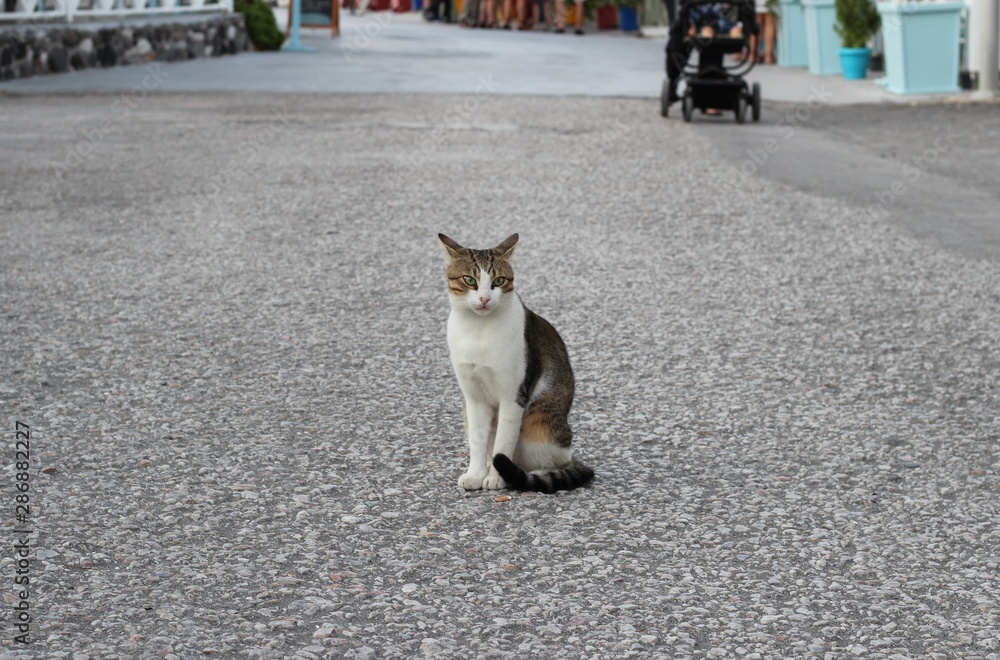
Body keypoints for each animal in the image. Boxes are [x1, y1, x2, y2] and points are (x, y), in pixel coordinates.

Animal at [438, 235, 592, 492]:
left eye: (499, 280)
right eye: (469, 280)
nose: (484, 298)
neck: (478, 330)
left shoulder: (513, 395)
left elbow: (503, 442)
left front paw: (496, 478)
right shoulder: (473, 397)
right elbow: (478, 440)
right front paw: (476, 474)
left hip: (541, 427)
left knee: (555, 461)